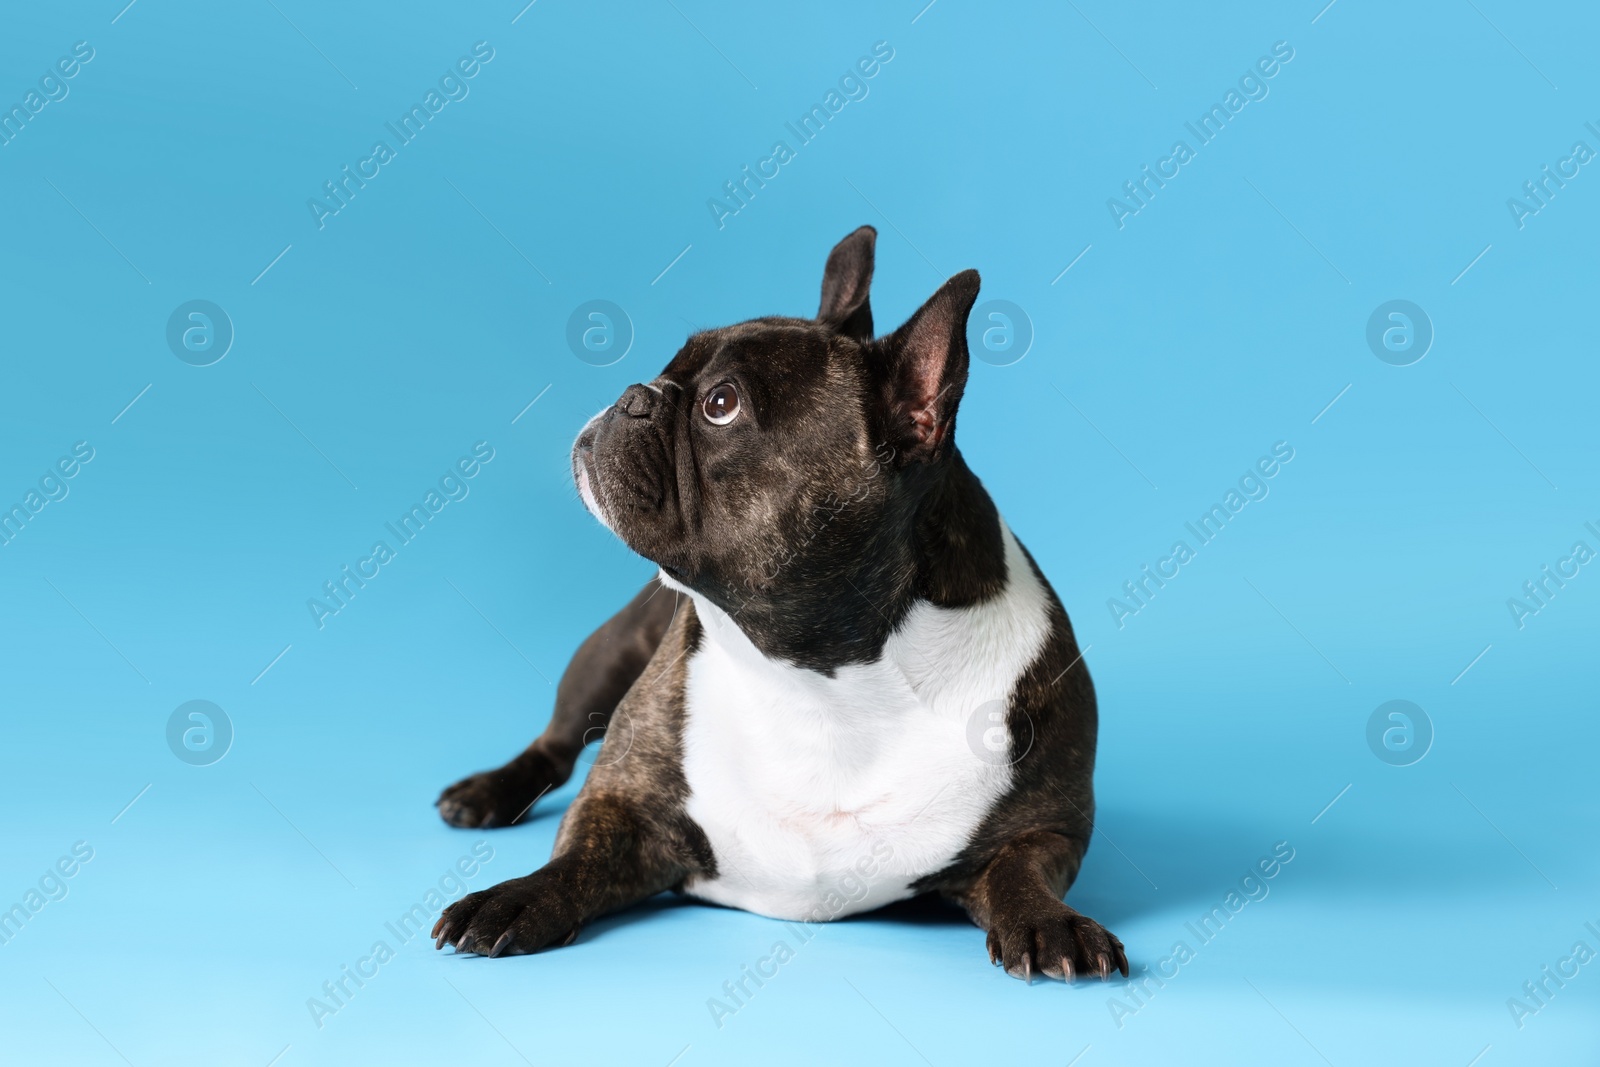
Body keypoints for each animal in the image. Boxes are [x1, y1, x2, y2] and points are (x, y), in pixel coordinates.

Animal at [428, 227, 1126, 985]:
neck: (823, 676)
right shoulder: (619, 800)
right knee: (554, 745)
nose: (636, 392)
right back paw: (488, 791)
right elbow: (573, 857)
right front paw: (516, 897)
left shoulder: (1048, 826)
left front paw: (1050, 921)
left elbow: (1022, 869)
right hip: (608, 650)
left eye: (721, 405)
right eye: (670, 367)